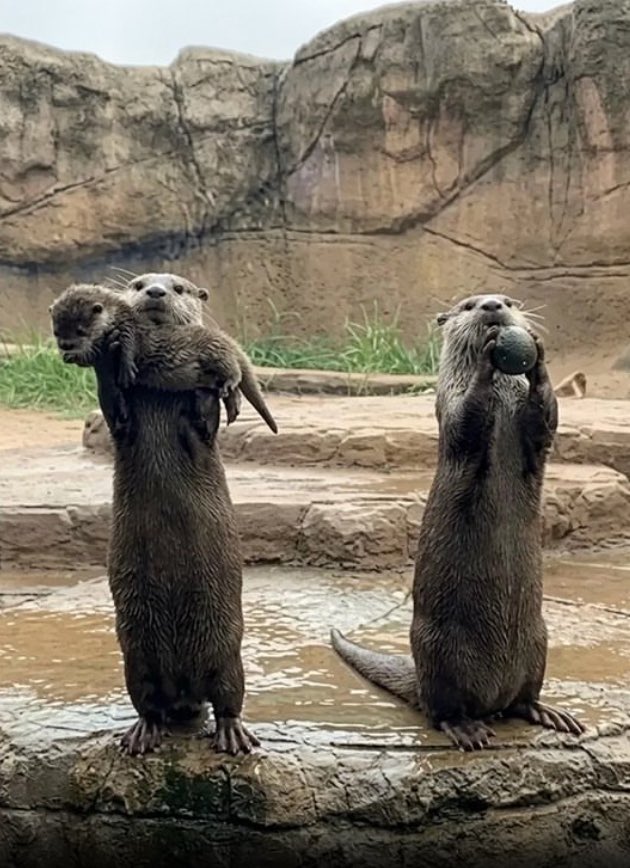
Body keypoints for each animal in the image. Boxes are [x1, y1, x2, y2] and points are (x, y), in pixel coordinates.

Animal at [50, 282, 259, 756]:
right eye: (139, 283)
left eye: (179, 286)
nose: (157, 290)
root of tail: (184, 691)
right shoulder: (121, 422)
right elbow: (116, 413)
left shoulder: (200, 430)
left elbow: (204, 420)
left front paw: (214, 389)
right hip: (136, 658)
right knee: (147, 699)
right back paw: (144, 731)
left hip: (227, 652)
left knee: (229, 695)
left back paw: (233, 733)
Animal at [331, 294, 585, 751]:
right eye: (469, 305)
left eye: (508, 300)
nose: (492, 305)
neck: (504, 402)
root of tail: (493, 697)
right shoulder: (449, 408)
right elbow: (466, 419)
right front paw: (486, 359)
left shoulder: (536, 431)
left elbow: (546, 418)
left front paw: (539, 360)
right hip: (438, 651)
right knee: (441, 709)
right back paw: (465, 728)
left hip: (540, 639)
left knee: (524, 697)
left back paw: (547, 712)